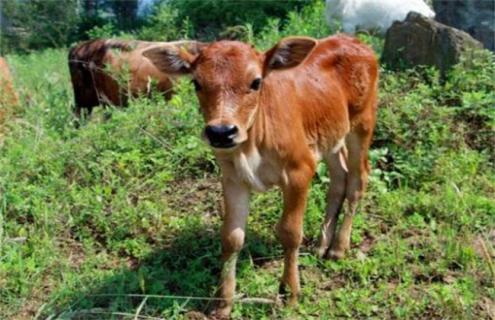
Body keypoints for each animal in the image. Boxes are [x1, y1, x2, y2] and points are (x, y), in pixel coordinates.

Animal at [143, 35, 380, 318]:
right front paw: (223, 302)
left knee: (358, 178)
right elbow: (231, 238)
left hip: (362, 123)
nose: (221, 132)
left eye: (256, 82)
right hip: (330, 136)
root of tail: (354, 40)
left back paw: (338, 247)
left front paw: (290, 293)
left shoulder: (300, 169)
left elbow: (290, 232)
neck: (251, 144)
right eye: (196, 83)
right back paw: (323, 243)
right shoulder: (232, 178)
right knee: (339, 177)